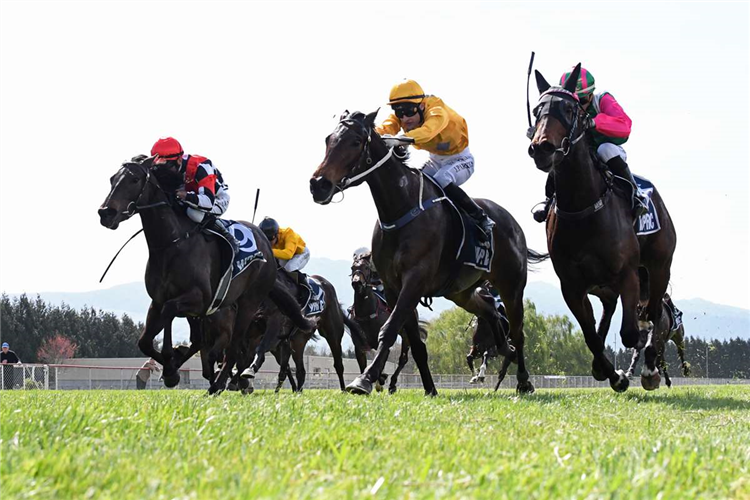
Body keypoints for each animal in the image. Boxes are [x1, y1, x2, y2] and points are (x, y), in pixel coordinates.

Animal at [97, 158, 314, 392]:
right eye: (112, 179)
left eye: (135, 179)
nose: (106, 213)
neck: (171, 245)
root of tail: (266, 248)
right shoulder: (157, 301)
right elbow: (145, 341)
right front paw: (171, 369)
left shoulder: (199, 299)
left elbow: (170, 311)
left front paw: (171, 363)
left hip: (249, 305)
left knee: (236, 348)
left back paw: (220, 384)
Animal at [352, 256, 428, 392]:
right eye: (352, 268)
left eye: (366, 267)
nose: (356, 283)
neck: (367, 313)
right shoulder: (359, 347)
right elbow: (364, 365)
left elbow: (382, 360)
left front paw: (381, 380)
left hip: (405, 335)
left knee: (403, 359)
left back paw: (392, 384)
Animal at [528, 63, 680, 390]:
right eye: (537, 110)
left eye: (569, 109)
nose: (542, 148)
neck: (582, 208)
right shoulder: (571, 285)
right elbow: (592, 338)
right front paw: (610, 373)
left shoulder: (629, 275)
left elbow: (631, 334)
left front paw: (635, 370)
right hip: (603, 285)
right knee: (610, 311)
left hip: (658, 268)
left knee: (655, 313)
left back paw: (651, 368)